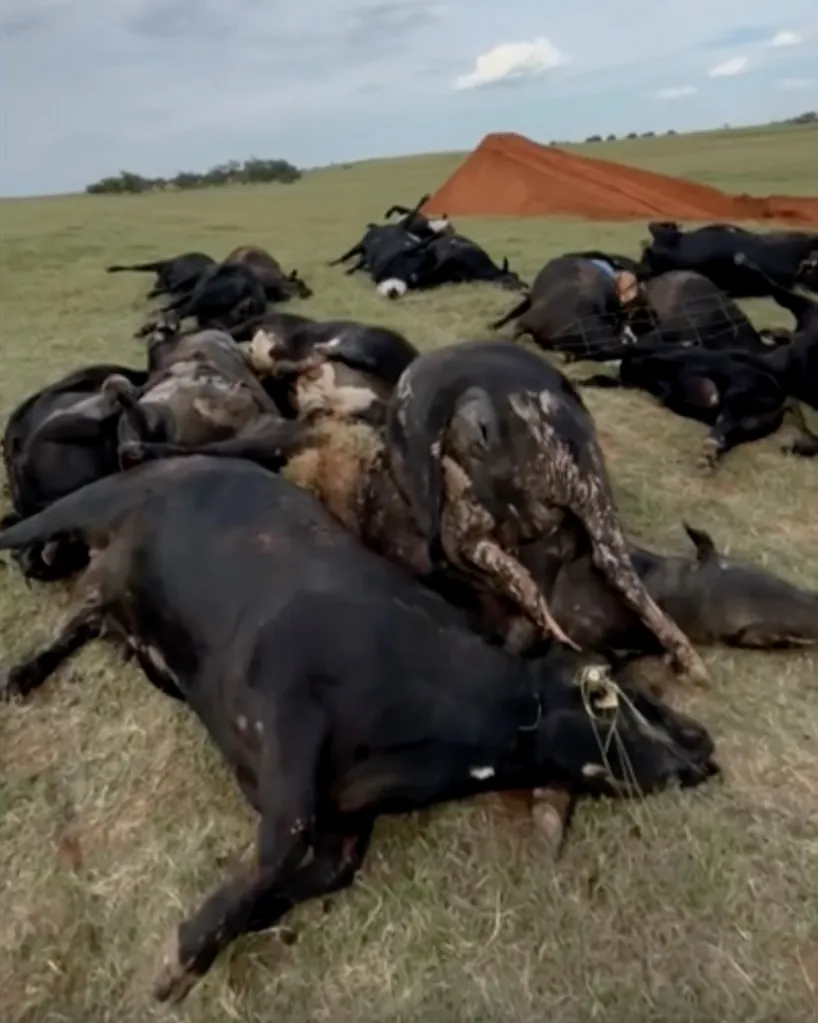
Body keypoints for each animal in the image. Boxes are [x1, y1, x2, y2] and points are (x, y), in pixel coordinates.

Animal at [0, 456, 719, 1002]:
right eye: (618, 695)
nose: (705, 748)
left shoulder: (349, 821)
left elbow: (320, 874)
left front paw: (234, 927)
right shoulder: (289, 697)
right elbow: (285, 837)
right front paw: (180, 960)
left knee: (85, 616)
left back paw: (23, 673)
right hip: (91, 501)